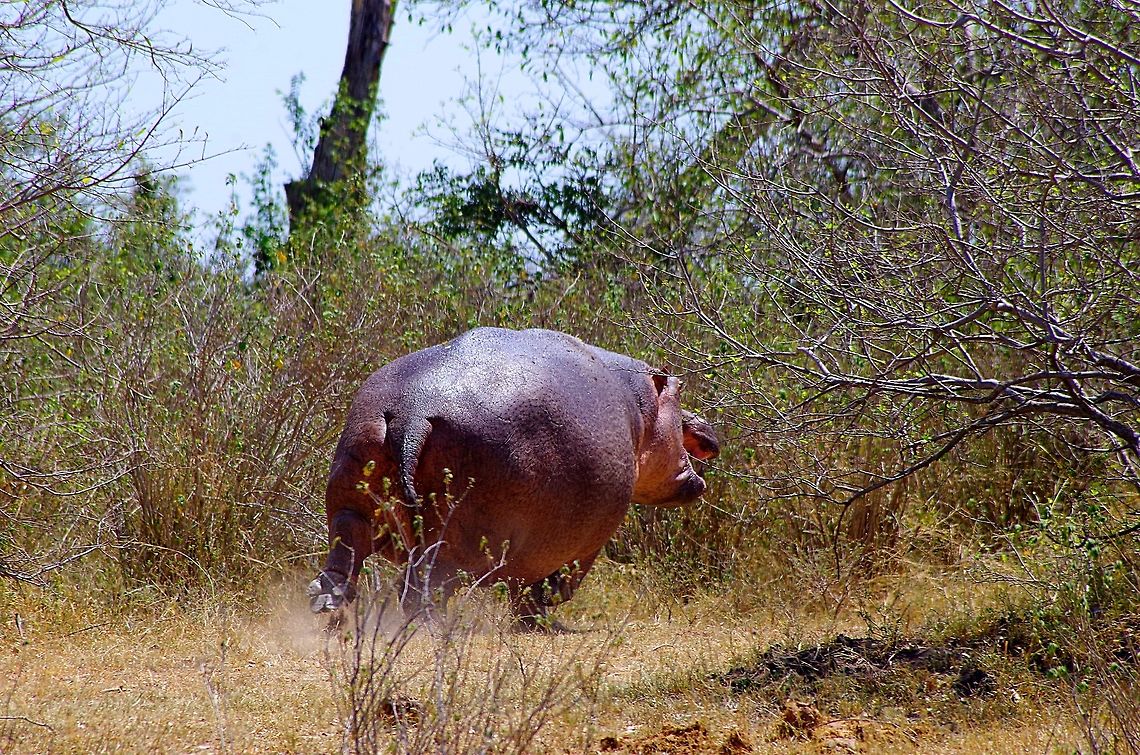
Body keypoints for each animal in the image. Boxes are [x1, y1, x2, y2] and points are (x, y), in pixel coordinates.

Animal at [308, 327, 720, 625]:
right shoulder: (583, 541)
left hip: (350, 497)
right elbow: (551, 587)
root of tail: (415, 411)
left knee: (345, 559)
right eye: (677, 390)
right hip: (461, 543)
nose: (709, 432)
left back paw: (327, 608)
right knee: (420, 590)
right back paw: (433, 629)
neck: (640, 405)